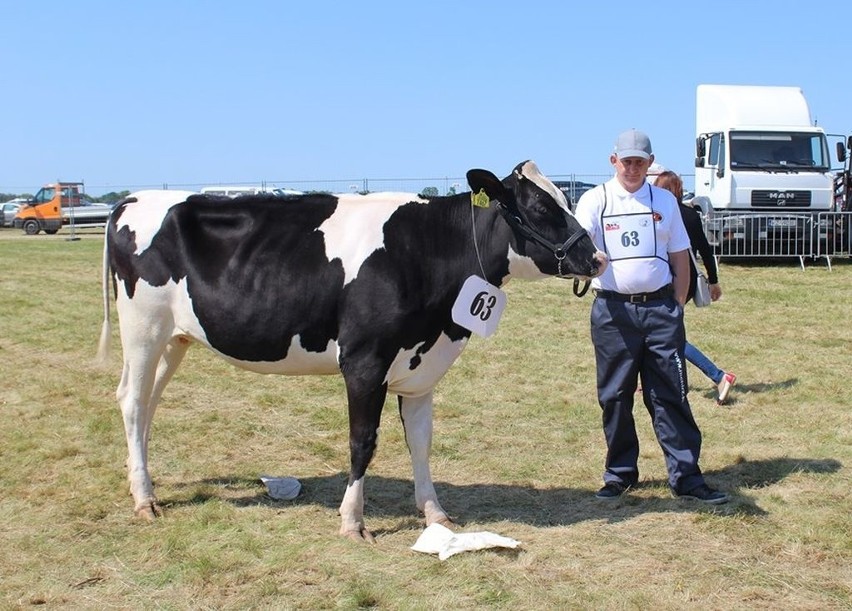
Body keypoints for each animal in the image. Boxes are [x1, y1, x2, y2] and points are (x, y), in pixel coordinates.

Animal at [98, 161, 604, 540]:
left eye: (565, 199)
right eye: (540, 205)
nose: (596, 258)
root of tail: (133, 199)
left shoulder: (422, 367)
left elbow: (421, 442)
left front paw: (434, 513)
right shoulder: (364, 362)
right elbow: (363, 441)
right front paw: (352, 521)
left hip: (175, 338)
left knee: (148, 403)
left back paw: (138, 480)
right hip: (143, 328)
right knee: (131, 400)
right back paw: (145, 499)